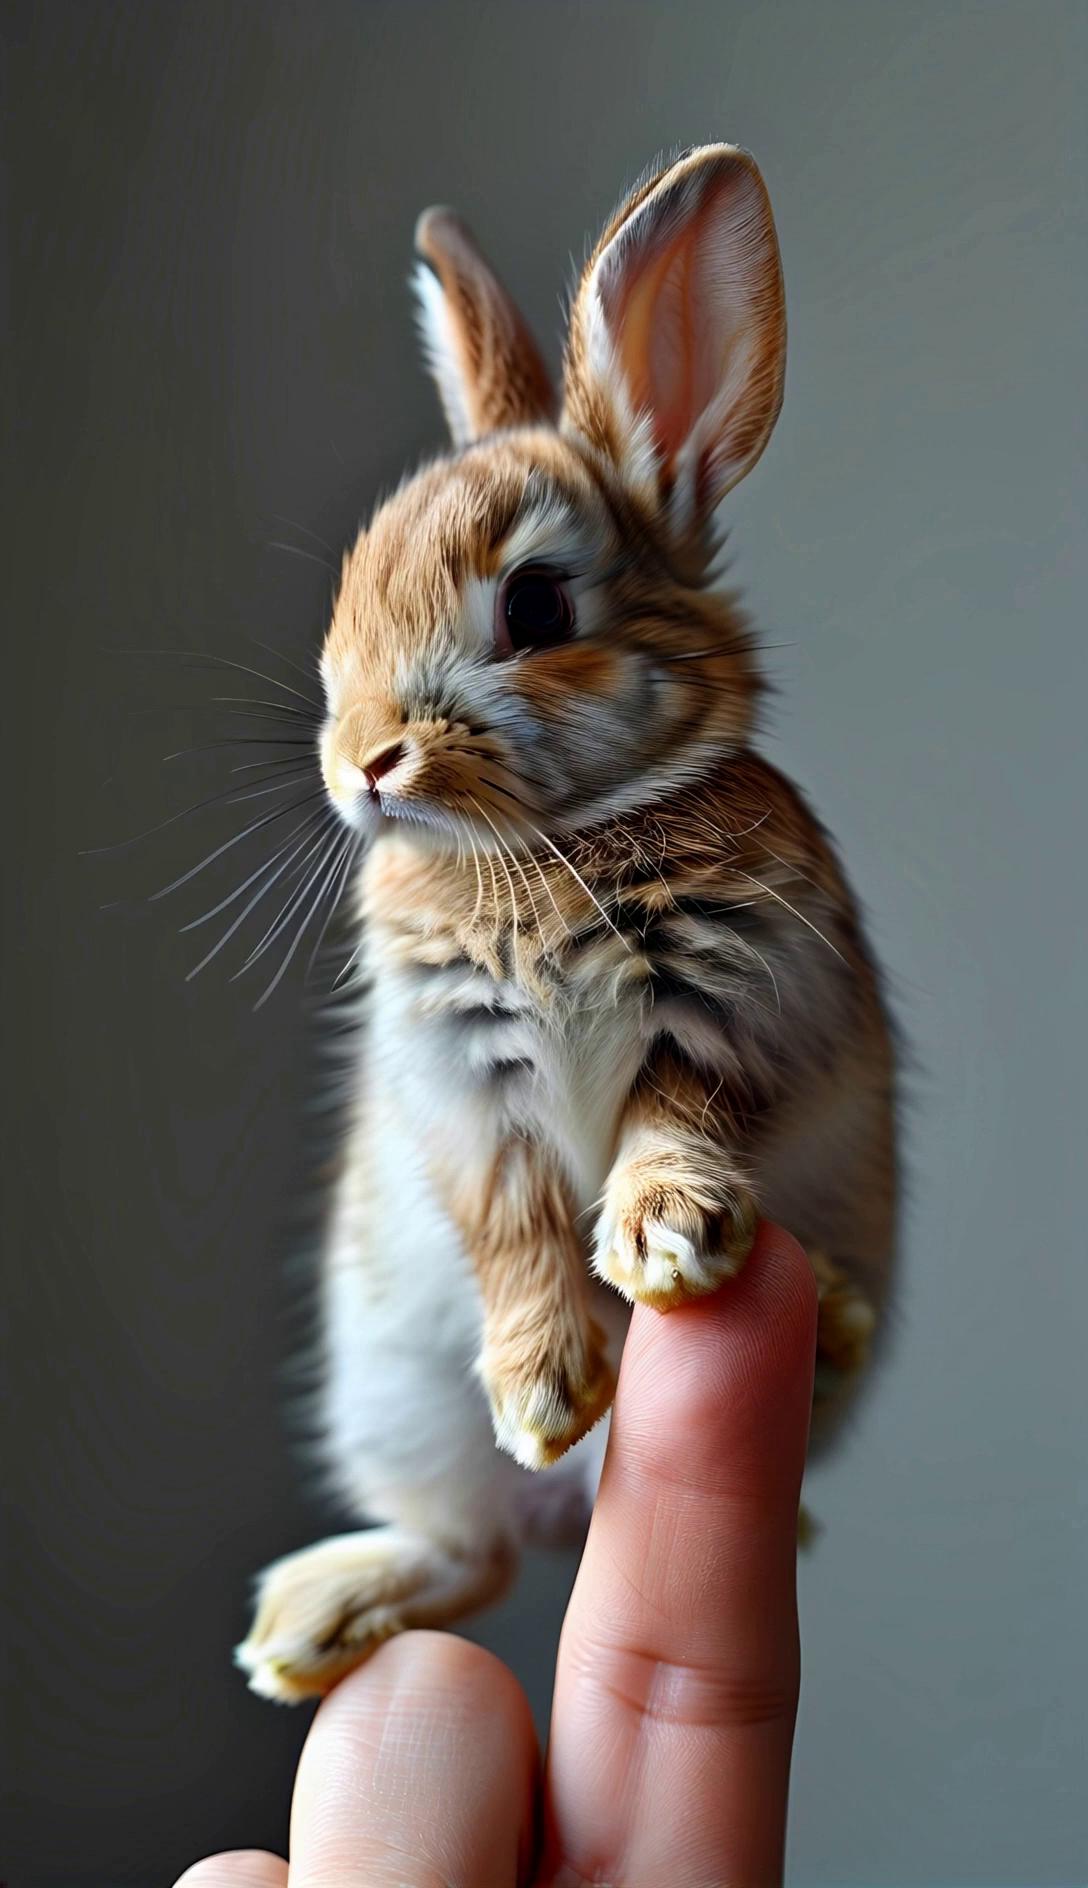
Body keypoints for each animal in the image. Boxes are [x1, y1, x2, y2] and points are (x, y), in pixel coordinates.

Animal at [234, 143, 898, 1703]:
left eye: (537, 604)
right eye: (352, 589)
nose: (362, 763)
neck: (552, 845)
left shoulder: (728, 1016)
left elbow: (672, 1123)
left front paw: (670, 1244)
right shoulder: (462, 1084)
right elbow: (515, 1222)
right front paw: (545, 1389)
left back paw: (826, 1330)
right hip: (397, 1400)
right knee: (468, 1552)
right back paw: (317, 1622)